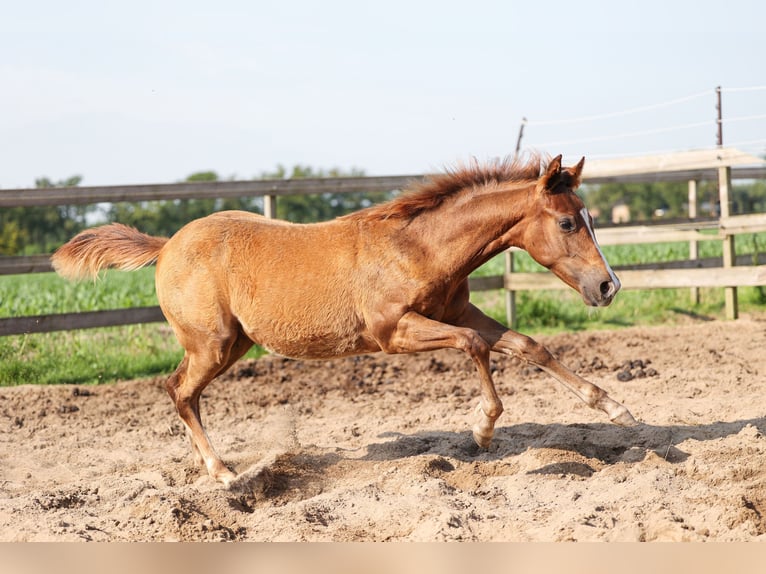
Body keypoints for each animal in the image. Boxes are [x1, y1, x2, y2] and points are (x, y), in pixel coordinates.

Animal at [52, 153, 636, 486]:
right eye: (568, 222)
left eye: (589, 217)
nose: (608, 286)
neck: (417, 249)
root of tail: (166, 244)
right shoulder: (393, 333)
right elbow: (474, 344)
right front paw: (483, 429)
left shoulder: (455, 310)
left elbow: (529, 345)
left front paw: (617, 409)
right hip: (211, 343)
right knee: (178, 390)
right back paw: (222, 473)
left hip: (234, 344)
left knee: (186, 393)